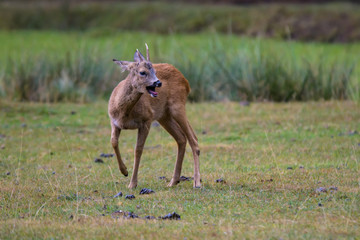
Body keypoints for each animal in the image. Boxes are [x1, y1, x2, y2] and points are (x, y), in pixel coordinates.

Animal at [108, 44, 201, 188]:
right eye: (142, 72)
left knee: (193, 139)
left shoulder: (147, 120)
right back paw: (173, 181)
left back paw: (197, 182)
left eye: (155, 71)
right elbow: (113, 142)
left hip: (177, 106)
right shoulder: (114, 122)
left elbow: (138, 150)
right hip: (164, 116)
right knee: (181, 138)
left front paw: (132, 183)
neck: (124, 113)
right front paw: (124, 171)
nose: (158, 83)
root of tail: (186, 82)